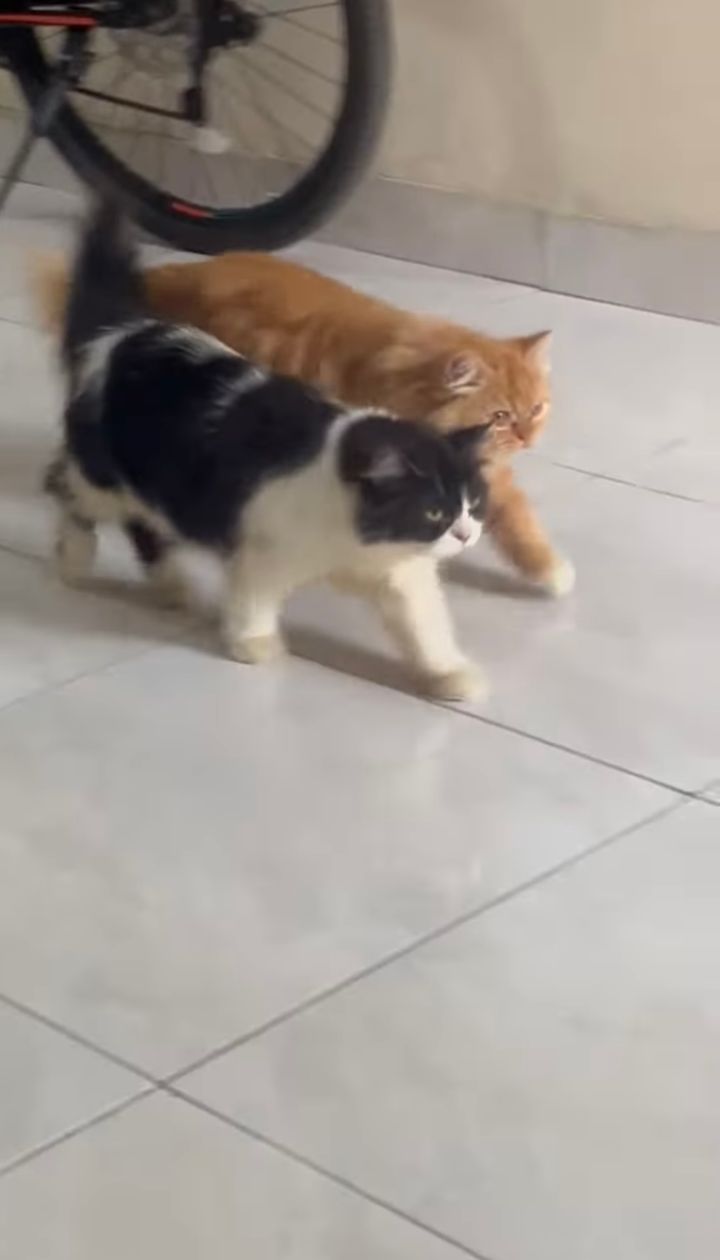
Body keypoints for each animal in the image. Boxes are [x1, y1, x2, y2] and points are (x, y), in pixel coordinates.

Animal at [34, 249, 573, 597]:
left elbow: (516, 524)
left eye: (536, 410)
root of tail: (170, 273)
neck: (406, 377)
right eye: (502, 417)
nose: (529, 438)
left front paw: (548, 569)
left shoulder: (476, 471)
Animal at [48, 202, 490, 702]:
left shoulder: (401, 573)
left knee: (144, 525)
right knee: (71, 493)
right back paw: (74, 559)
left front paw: (450, 672)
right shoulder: (264, 539)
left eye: (474, 505)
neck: (354, 534)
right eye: (434, 513)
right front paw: (253, 642)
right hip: (104, 471)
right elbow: (255, 595)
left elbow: (424, 621)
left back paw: (172, 586)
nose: (466, 534)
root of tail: (121, 332)